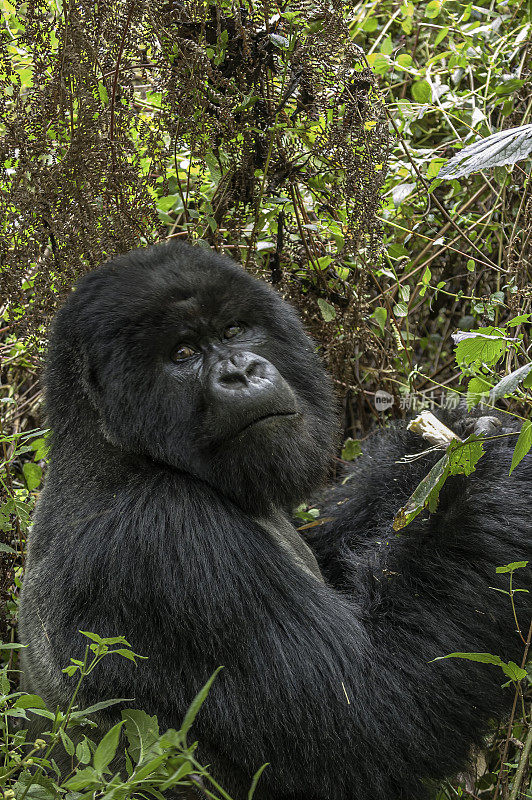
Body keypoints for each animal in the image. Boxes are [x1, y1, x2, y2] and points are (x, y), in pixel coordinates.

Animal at [18, 242, 528, 800]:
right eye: (182, 354)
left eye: (234, 331)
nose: (240, 372)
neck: (111, 445)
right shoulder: (165, 540)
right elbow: (371, 718)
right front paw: (491, 473)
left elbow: (335, 545)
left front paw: (438, 449)